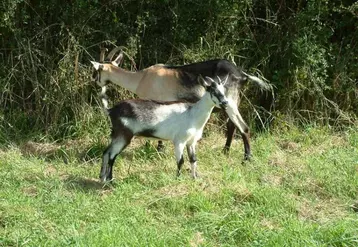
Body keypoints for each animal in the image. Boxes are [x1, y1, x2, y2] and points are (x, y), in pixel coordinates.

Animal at [100, 75, 229, 181]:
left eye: (224, 91)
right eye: (213, 91)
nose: (225, 103)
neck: (192, 114)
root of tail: (111, 110)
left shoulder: (191, 142)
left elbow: (193, 160)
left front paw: (194, 178)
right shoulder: (179, 141)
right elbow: (180, 161)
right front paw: (178, 178)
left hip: (117, 135)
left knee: (106, 152)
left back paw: (102, 178)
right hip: (124, 135)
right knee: (112, 155)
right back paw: (110, 179)